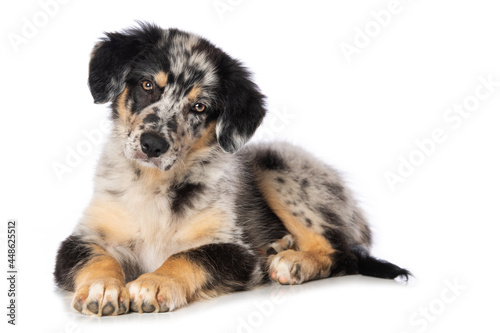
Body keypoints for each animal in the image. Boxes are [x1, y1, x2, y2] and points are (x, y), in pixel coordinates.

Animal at [53, 22, 410, 314]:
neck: (155, 185)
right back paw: (279, 247)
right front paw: (103, 288)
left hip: (276, 163)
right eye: (147, 86)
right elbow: (97, 257)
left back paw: (292, 262)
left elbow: (187, 256)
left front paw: (154, 283)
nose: (153, 145)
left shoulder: (233, 249)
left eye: (199, 107)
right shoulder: (83, 237)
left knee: (342, 252)